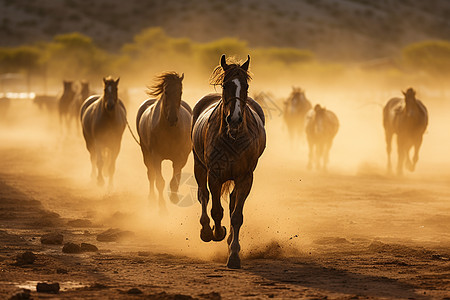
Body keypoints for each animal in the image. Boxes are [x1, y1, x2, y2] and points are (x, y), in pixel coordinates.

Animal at [135, 71, 192, 211]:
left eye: (180, 92)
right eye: (166, 92)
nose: (172, 118)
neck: (169, 130)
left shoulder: (180, 157)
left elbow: (175, 180)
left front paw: (174, 197)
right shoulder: (156, 157)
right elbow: (159, 181)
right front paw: (162, 207)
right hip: (146, 153)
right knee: (151, 175)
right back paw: (151, 199)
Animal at [191, 54, 268, 270]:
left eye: (246, 86)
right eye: (225, 85)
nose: (234, 119)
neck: (232, 136)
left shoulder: (245, 178)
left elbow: (236, 215)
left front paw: (234, 254)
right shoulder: (214, 175)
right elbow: (216, 210)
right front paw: (217, 232)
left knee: (232, 202)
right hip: (199, 167)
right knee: (203, 196)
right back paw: (206, 231)